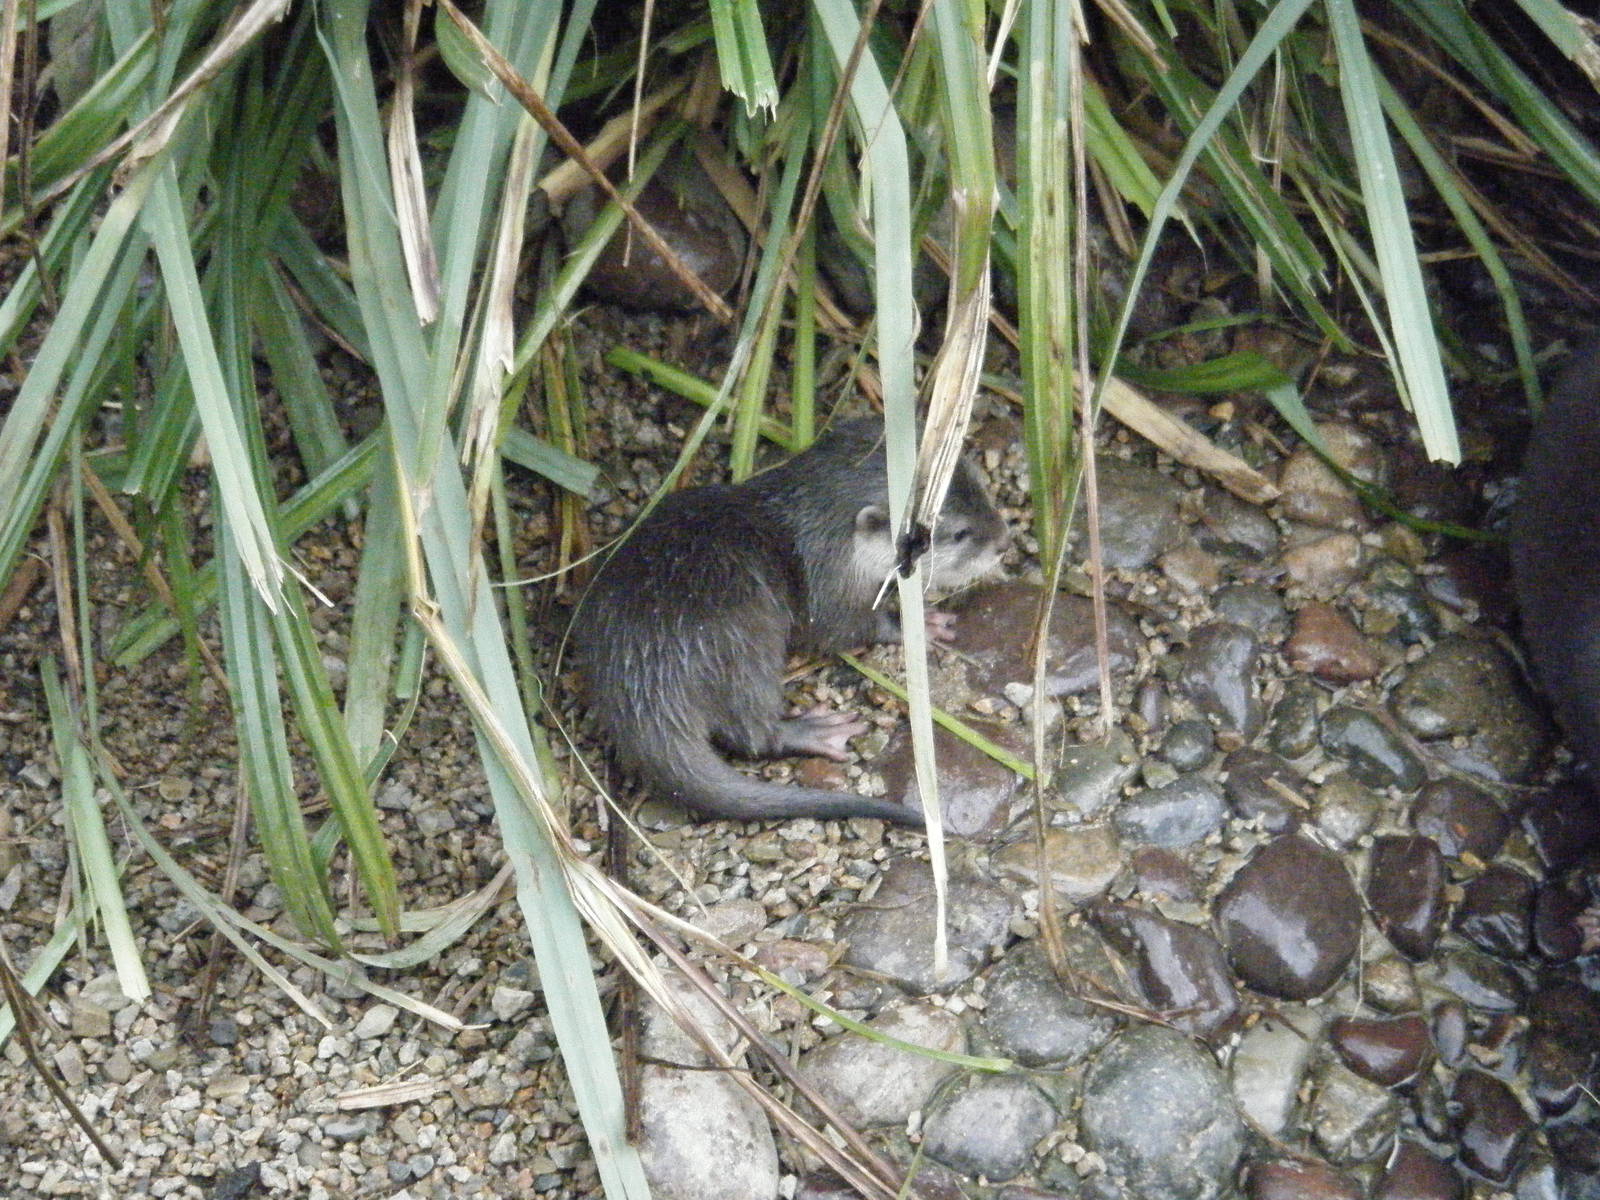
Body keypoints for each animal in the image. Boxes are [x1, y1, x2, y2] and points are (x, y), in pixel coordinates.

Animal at [572, 420, 1009, 825]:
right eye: (958, 533)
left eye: (981, 486)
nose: (1004, 542)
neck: (823, 538)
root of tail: (642, 682)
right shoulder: (826, 583)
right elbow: (840, 628)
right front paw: (916, 623)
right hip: (742, 637)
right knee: (750, 731)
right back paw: (813, 731)